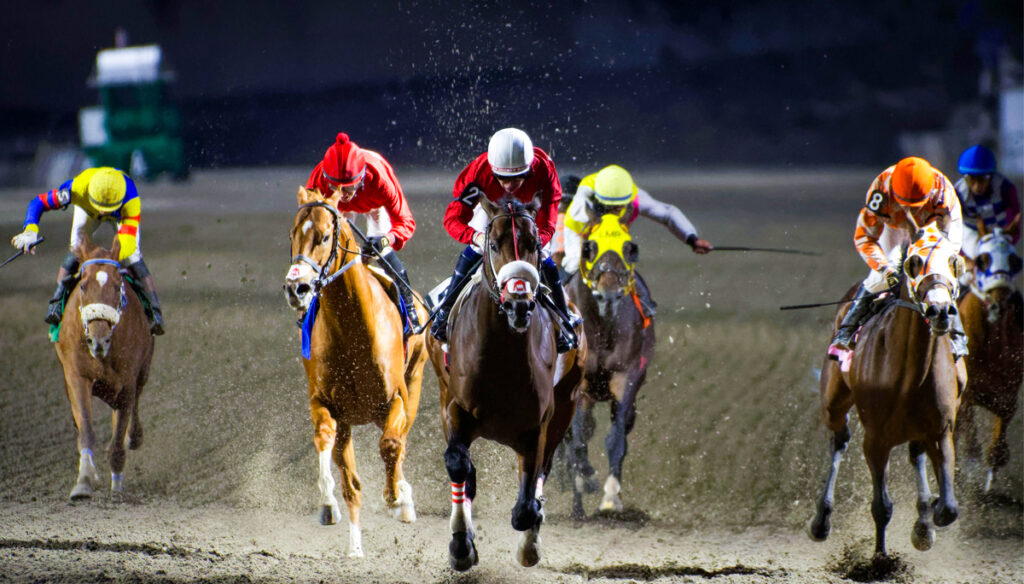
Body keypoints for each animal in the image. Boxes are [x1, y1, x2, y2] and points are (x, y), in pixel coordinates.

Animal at [54, 237, 154, 501]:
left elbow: (118, 435)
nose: (98, 341)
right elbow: (87, 430)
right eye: (82, 286)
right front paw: (84, 482)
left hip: (143, 370)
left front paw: (116, 488)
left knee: (136, 403)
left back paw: (134, 437)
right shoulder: (77, 376)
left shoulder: (127, 382)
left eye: (118, 286)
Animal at [283, 186, 428, 558]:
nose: (296, 287)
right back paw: (355, 545)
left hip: (414, 384)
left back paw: (403, 499)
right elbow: (329, 448)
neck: (354, 330)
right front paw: (328, 504)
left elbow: (391, 445)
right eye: (292, 235)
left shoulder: (396, 399)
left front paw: (396, 498)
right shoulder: (327, 405)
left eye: (324, 236)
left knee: (400, 441)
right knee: (353, 481)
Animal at [426, 197, 586, 571]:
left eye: (535, 245)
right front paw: (461, 546)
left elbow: (526, 505)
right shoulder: (454, 407)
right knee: (465, 473)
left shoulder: (538, 426)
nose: (519, 303)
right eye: (494, 245)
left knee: (541, 474)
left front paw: (530, 534)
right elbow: (459, 466)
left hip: (567, 404)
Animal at [562, 213, 655, 518]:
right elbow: (578, 437)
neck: (602, 329)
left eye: (628, 247)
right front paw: (586, 477)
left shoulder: (626, 377)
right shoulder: (577, 384)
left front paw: (611, 497)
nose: (609, 295)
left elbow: (616, 439)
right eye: (589, 247)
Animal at [809, 222, 967, 557]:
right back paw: (821, 521)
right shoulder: (875, 440)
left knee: (916, 454)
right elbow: (882, 507)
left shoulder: (941, 430)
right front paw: (880, 559)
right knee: (839, 440)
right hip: (833, 402)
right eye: (914, 262)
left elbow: (948, 508)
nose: (940, 310)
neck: (909, 376)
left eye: (953, 261)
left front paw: (926, 521)